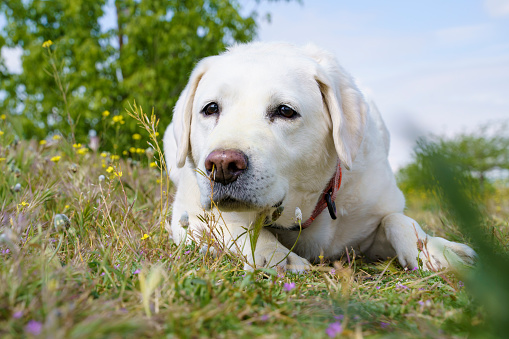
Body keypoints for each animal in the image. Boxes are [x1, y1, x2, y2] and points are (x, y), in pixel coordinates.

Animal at [164, 41, 476, 274]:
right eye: (210, 108)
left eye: (285, 111)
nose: (222, 165)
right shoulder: (188, 213)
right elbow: (235, 226)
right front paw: (275, 255)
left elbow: (397, 219)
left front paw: (433, 249)